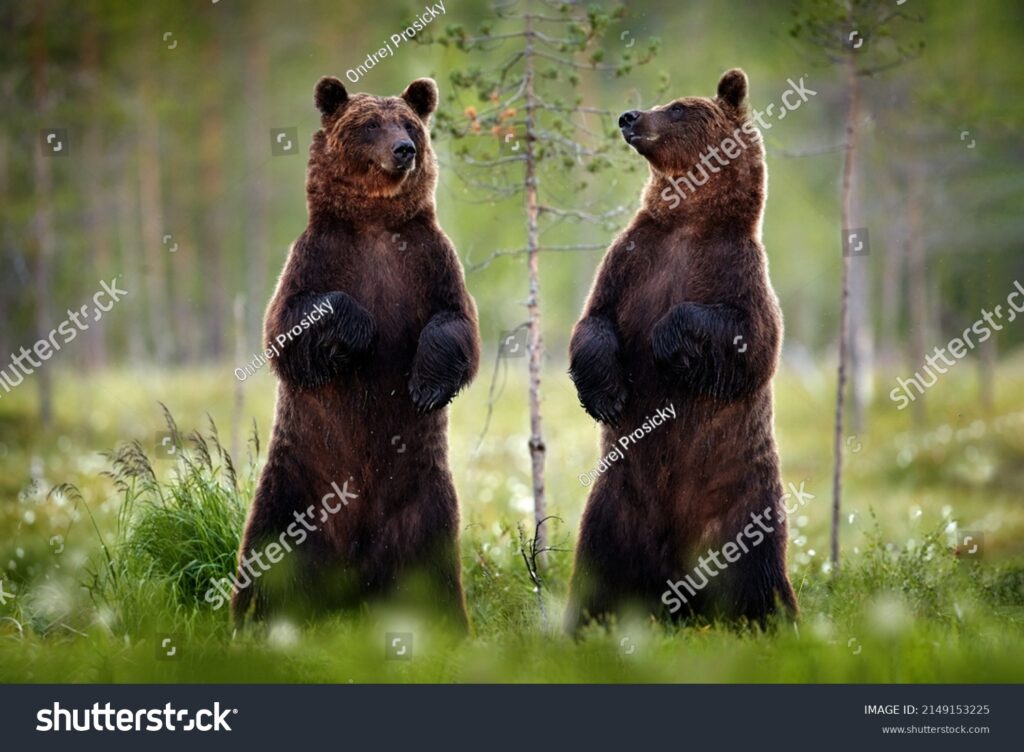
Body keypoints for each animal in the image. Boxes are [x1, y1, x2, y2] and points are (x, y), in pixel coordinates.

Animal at [230, 76, 480, 633]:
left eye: (408, 124)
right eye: (369, 124)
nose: (404, 149)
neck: (375, 223)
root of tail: (354, 580)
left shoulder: (431, 260)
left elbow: (456, 325)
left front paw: (425, 384)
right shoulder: (317, 257)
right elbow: (287, 325)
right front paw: (361, 330)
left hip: (423, 501)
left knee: (432, 563)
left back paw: (446, 623)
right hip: (295, 485)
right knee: (269, 549)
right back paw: (253, 617)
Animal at [564, 69, 797, 632]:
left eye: (678, 108)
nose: (628, 116)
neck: (690, 222)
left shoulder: (737, 270)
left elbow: (753, 341)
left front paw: (668, 342)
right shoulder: (631, 261)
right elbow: (594, 321)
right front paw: (605, 393)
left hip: (739, 504)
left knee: (752, 571)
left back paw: (769, 619)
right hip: (615, 505)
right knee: (599, 567)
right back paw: (588, 623)